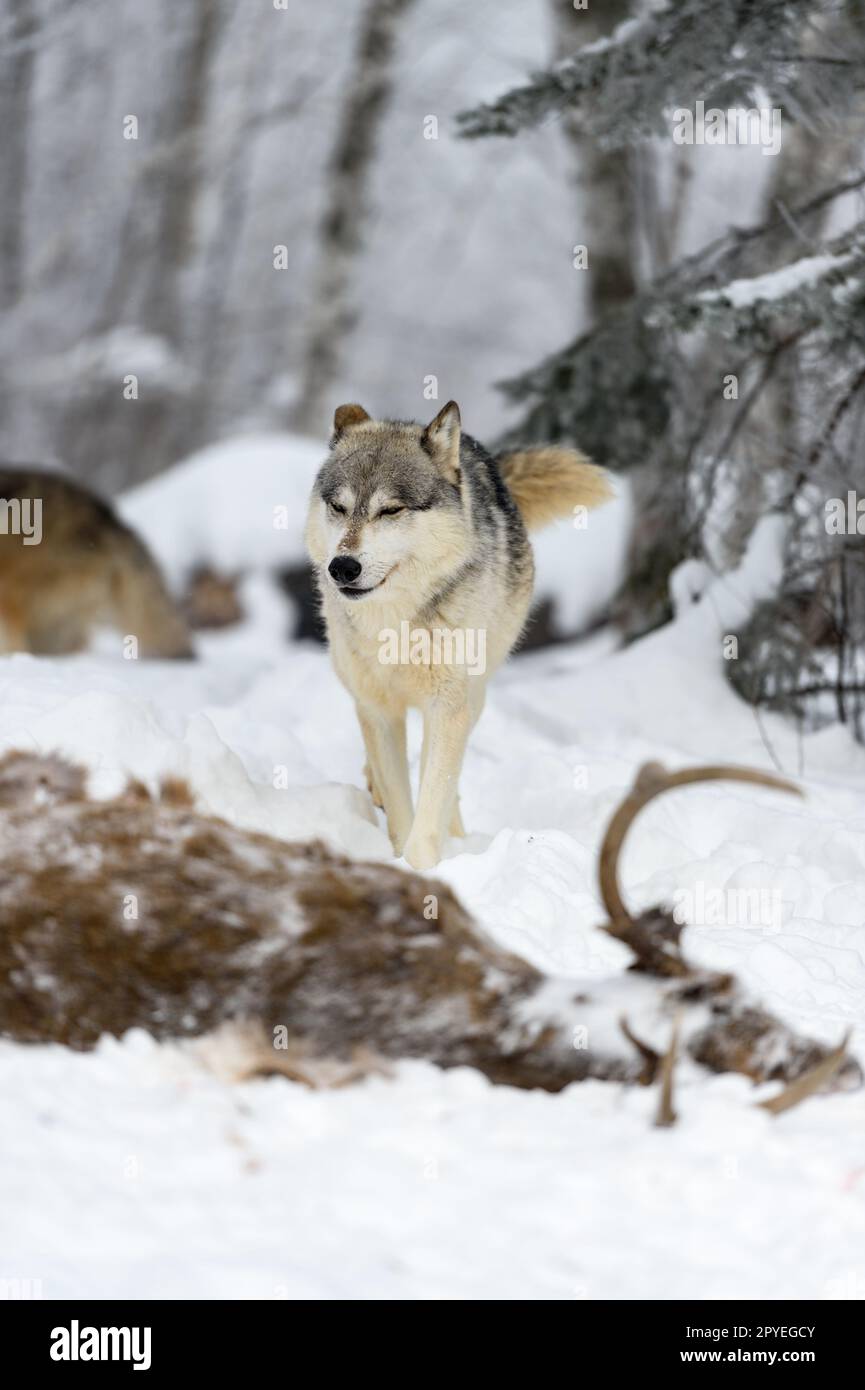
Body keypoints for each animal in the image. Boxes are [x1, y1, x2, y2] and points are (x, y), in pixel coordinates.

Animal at [305, 401, 612, 870]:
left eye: (390, 511)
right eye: (339, 507)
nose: (342, 567)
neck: (395, 623)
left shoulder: (447, 705)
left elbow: (432, 799)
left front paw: (425, 866)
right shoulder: (378, 710)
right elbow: (401, 805)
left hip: (473, 693)